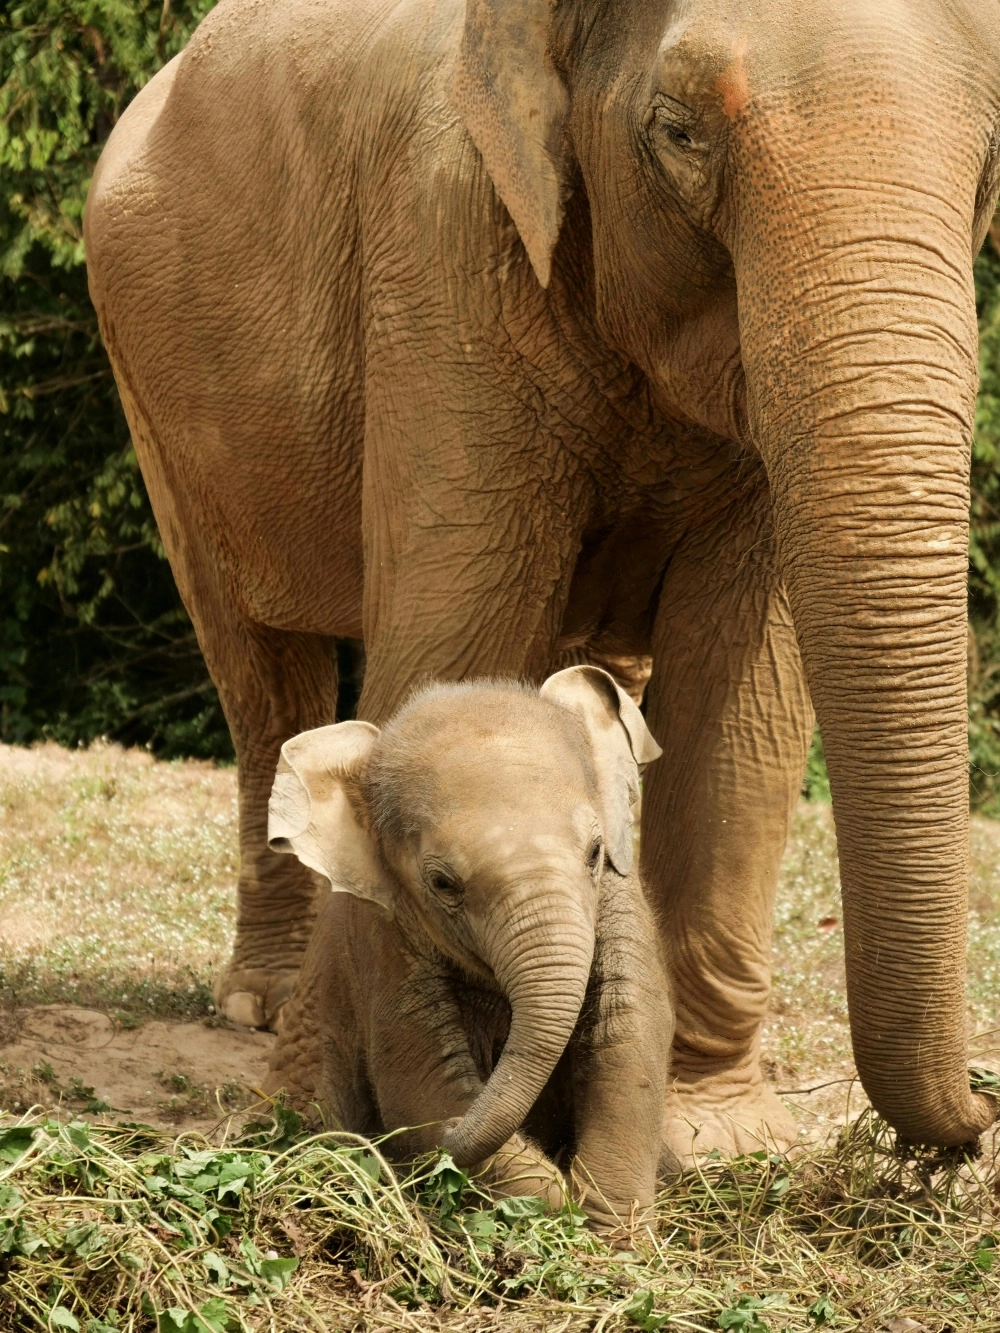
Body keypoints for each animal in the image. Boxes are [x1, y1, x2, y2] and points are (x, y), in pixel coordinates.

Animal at [84, 0, 1000, 1161]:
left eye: (991, 170)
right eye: (680, 135)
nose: (980, 1110)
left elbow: (741, 703)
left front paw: (711, 1139)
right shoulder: (445, 260)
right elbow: (457, 646)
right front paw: (351, 1118)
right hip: (152, 386)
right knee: (260, 671)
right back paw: (260, 1005)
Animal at [263, 665, 672, 1233]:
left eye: (594, 853)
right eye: (441, 883)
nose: (380, 1147)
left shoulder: (621, 892)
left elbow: (631, 1036)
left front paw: (609, 1234)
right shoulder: (384, 938)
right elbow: (422, 1085)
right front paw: (552, 1208)